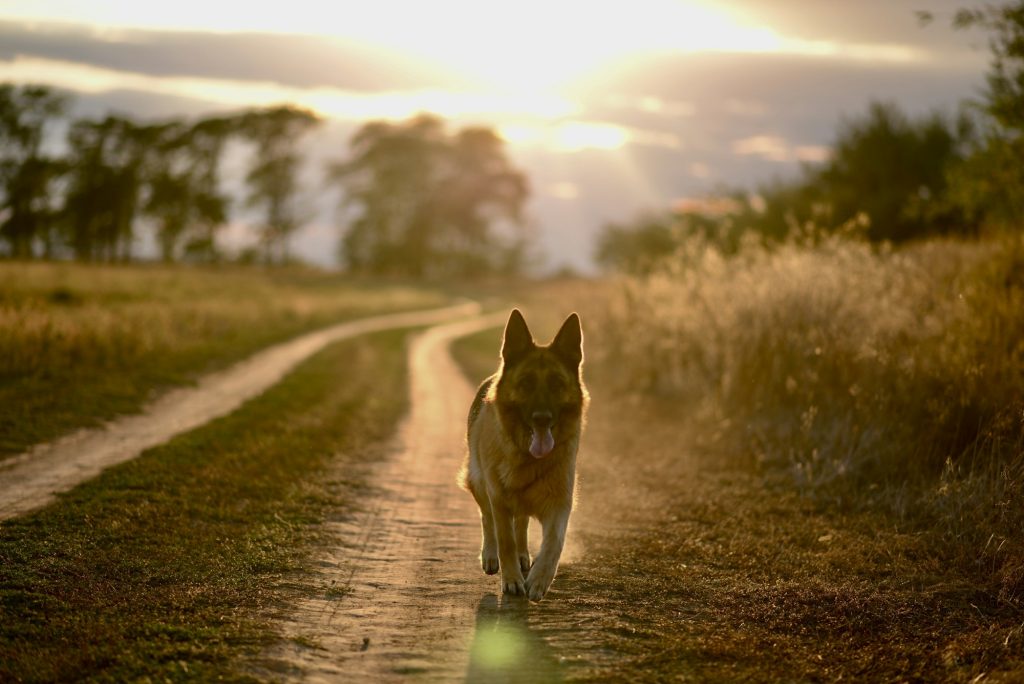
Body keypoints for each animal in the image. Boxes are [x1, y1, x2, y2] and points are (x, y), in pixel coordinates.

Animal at [460, 307, 589, 602]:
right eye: (526, 383)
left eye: (557, 383)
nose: (542, 418)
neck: (530, 460)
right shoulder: (499, 498)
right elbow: (504, 538)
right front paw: (511, 579)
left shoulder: (560, 504)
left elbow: (553, 544)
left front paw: (539, 580)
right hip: (479, 482)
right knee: (487, 518)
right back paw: (490, 555)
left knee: (521, 524)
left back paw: (523, 557)